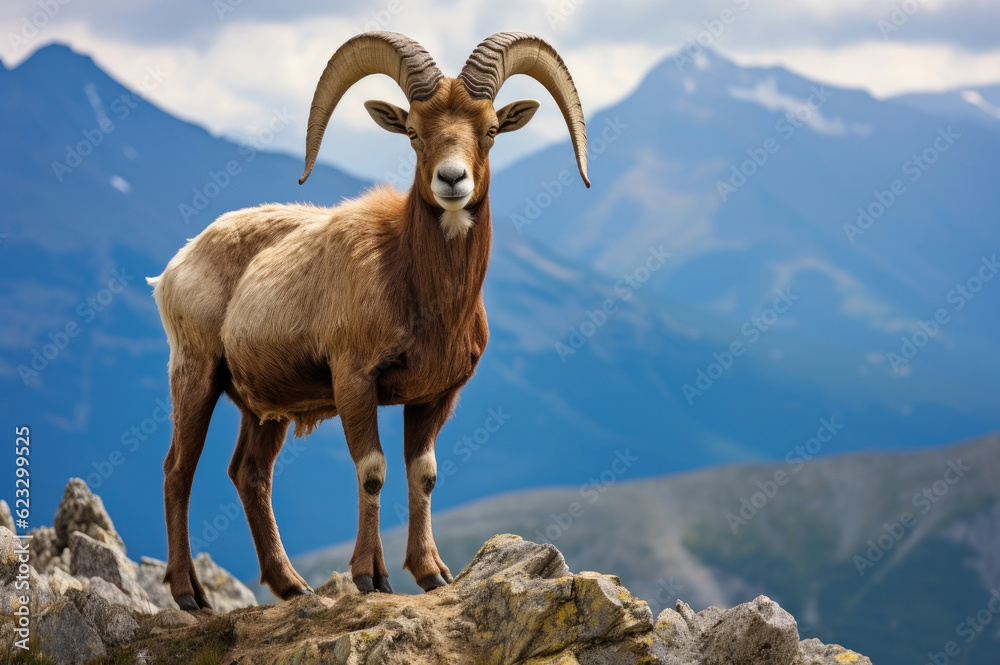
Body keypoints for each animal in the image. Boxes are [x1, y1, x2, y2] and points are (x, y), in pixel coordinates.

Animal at [146, 33, 588, 608]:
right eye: (414, 132)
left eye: (490, 129)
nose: (452, 180)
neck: (417, 290)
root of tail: (176, 266)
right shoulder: (354, 381)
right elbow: (372, 470)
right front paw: (368, 578)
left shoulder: (433, 397)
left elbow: (422, 474)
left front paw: (430, 573)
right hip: (196, 374)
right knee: (178, 470)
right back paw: (188, 594)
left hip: (264, 410)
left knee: (250, 474)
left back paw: (292, 586)